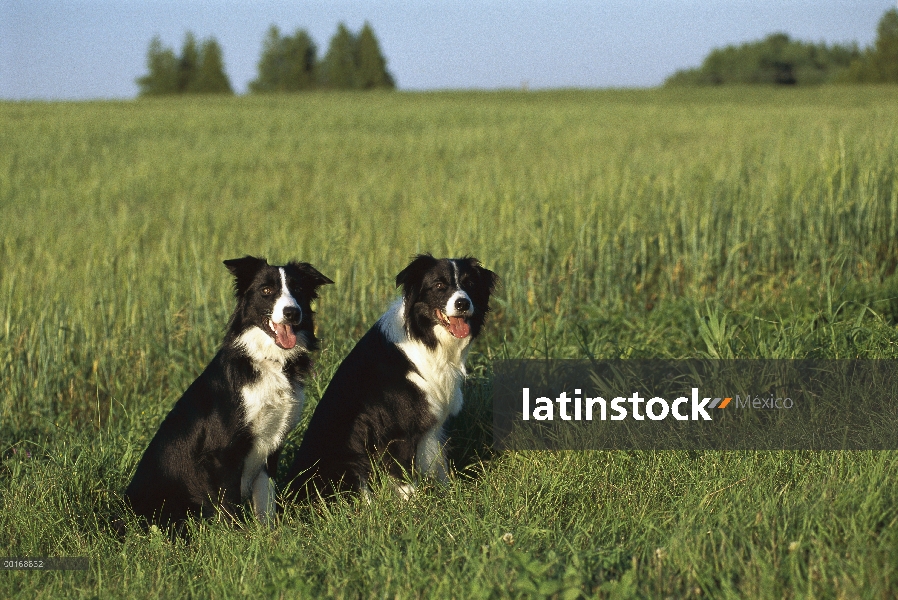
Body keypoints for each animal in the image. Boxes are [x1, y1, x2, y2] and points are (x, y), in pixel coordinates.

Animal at [123, 255, 332, 528]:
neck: (268, 361)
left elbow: (265, 503)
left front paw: (268, 535)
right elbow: (230, 509)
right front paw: (239, 537)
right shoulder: (222, 454)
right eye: (266, 290)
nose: (292, 312)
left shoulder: (271, 445)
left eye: (298, 289)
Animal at [286, 255, 496, 500]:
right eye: (439, 285)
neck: (425, 337)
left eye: (470, 284)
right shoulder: (397, 430)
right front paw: (416, 505)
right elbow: (403, 476)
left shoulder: (432, 424)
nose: (463, 303)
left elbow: (439, 463)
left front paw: (451, 495)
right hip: (349, 461)